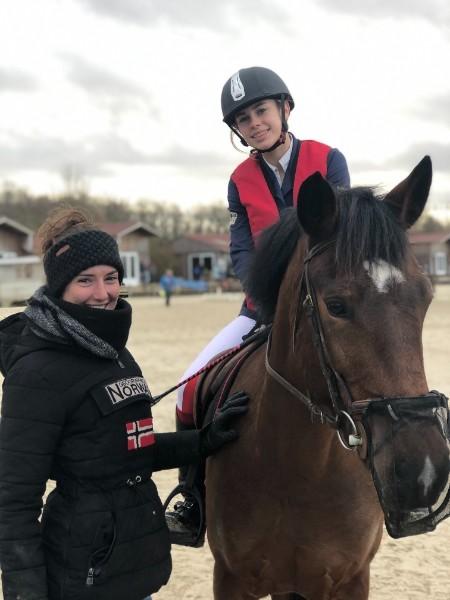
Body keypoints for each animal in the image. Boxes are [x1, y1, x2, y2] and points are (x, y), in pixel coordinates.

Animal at [203, 157, 450, 596]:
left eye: (425, 297)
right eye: (335, 306)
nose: (423, 471)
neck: (298, 466)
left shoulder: (350, 579)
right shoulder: (231, 578)